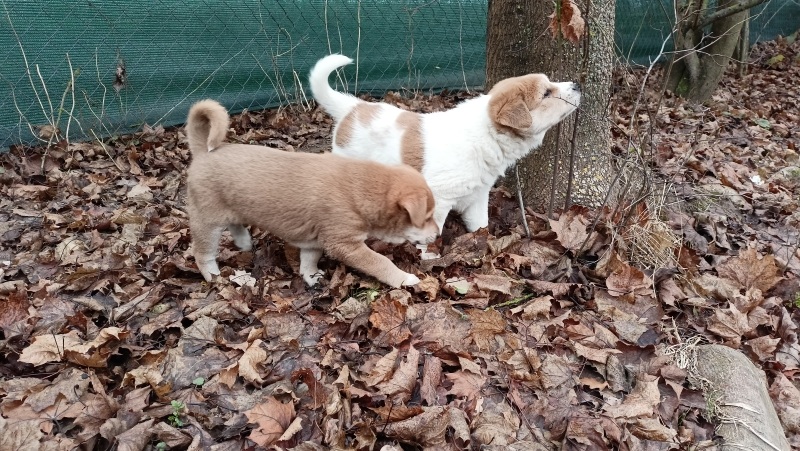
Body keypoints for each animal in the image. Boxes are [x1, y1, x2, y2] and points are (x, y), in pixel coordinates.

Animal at [184, 99, 439, 288]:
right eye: (426, 217)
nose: (438, 235)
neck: (359, 188)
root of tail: (203, 152)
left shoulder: (314, 242)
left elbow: (309, 262)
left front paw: (311, 277)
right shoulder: (346, 244)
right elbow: (380, 262)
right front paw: (404, 278)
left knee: (235, 224)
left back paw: (244, 242)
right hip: (207, 224)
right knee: (202, 253)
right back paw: (214, 276)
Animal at [309, 54, 581, 233]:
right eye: (546, 93)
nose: (577, 83)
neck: (487, 135)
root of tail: (353, 108)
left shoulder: (478, 196)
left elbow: (480, 225)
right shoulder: (439, 199)